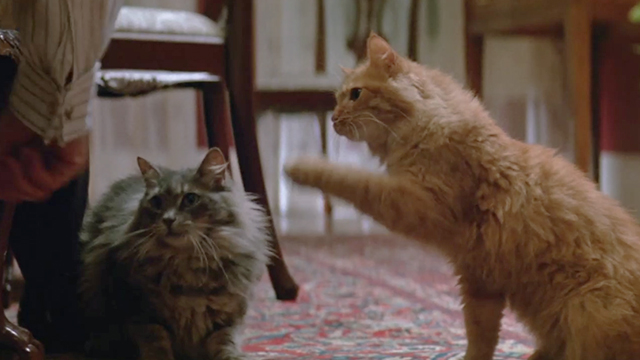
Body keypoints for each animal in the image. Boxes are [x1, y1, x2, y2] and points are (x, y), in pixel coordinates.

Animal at [80, 147, 270, 360]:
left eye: (190, 199)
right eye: (156, 202)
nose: (168, 220)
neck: (187, 266)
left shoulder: (227, 318)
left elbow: (226, 343)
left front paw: (236, 356)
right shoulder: (141, 312)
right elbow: (156, 343)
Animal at [284, 33, 640, 358]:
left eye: (355, 94)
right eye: (336, 99)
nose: (333, 119)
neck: (429, 126)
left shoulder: (417, 205)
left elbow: (352, 179)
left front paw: (301, 167)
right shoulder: (477, 279)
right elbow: (480, 336)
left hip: (589, 312)